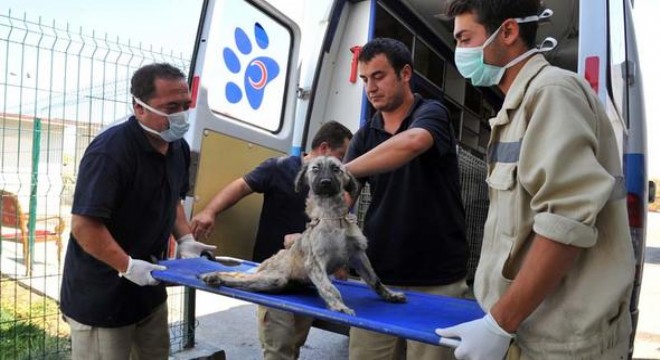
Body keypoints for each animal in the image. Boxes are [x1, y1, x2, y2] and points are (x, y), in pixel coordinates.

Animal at [200, 156, 408, 314]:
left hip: (275, 283)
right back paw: (214, 276)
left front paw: (390, 295)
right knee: (238, 278)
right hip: (274, 277)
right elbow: (330, 287)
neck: (333, 217)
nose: (325, 183)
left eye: (336, 169)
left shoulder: (357, 254)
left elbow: (375, 279)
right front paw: (339, 306)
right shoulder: (316, 262)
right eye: (315, 168)